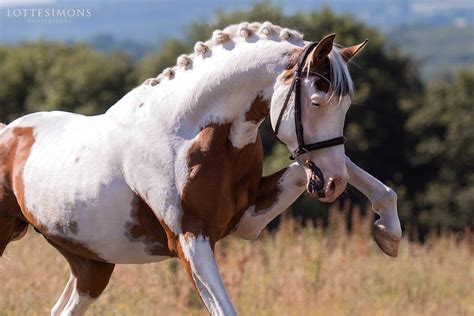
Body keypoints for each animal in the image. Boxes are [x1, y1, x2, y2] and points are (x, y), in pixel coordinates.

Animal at [0, 22, 402, 316]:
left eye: (346, 105)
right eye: (317, 100)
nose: (332, 184)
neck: (190, 131)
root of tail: (8, 131)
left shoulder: (247, 222)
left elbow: (310, 172)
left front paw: (388, 233)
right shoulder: (190, 241)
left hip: (91, 265)